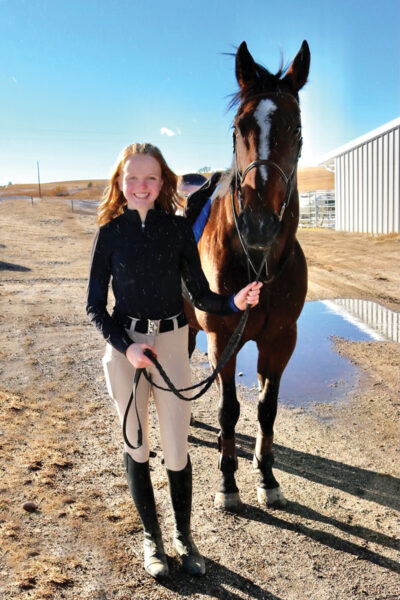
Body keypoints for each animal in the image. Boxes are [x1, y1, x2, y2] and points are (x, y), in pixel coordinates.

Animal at [183, 41, 310, 510]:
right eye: (239, 126)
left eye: (296, 128)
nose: (257, 223)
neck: (258, 260)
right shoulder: (223, 340)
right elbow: (229, 410)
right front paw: (227, 482)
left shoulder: (280, 341)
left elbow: (265, 410)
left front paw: (267, 477)